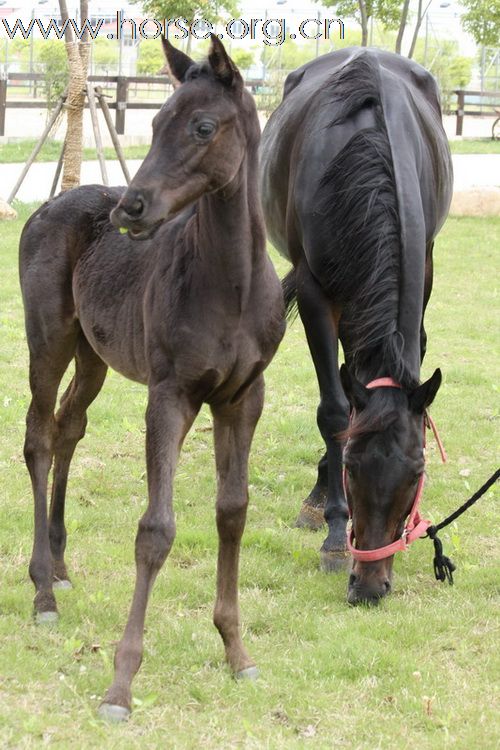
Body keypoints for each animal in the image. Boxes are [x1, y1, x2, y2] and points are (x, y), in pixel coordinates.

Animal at [18, 36, 286, 724]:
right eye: (157, 119)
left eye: (202, 127)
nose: (130, 209)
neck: (231, 284)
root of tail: (51, 203)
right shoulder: (170, 397)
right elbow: (156, 530)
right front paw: (120, 684)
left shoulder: (242, 398)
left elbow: (232, 511)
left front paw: (236, 651)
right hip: (49, 341)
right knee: (38, 437)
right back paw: (42, 591)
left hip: (94, 356)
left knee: (68, 428)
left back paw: (60, 565)